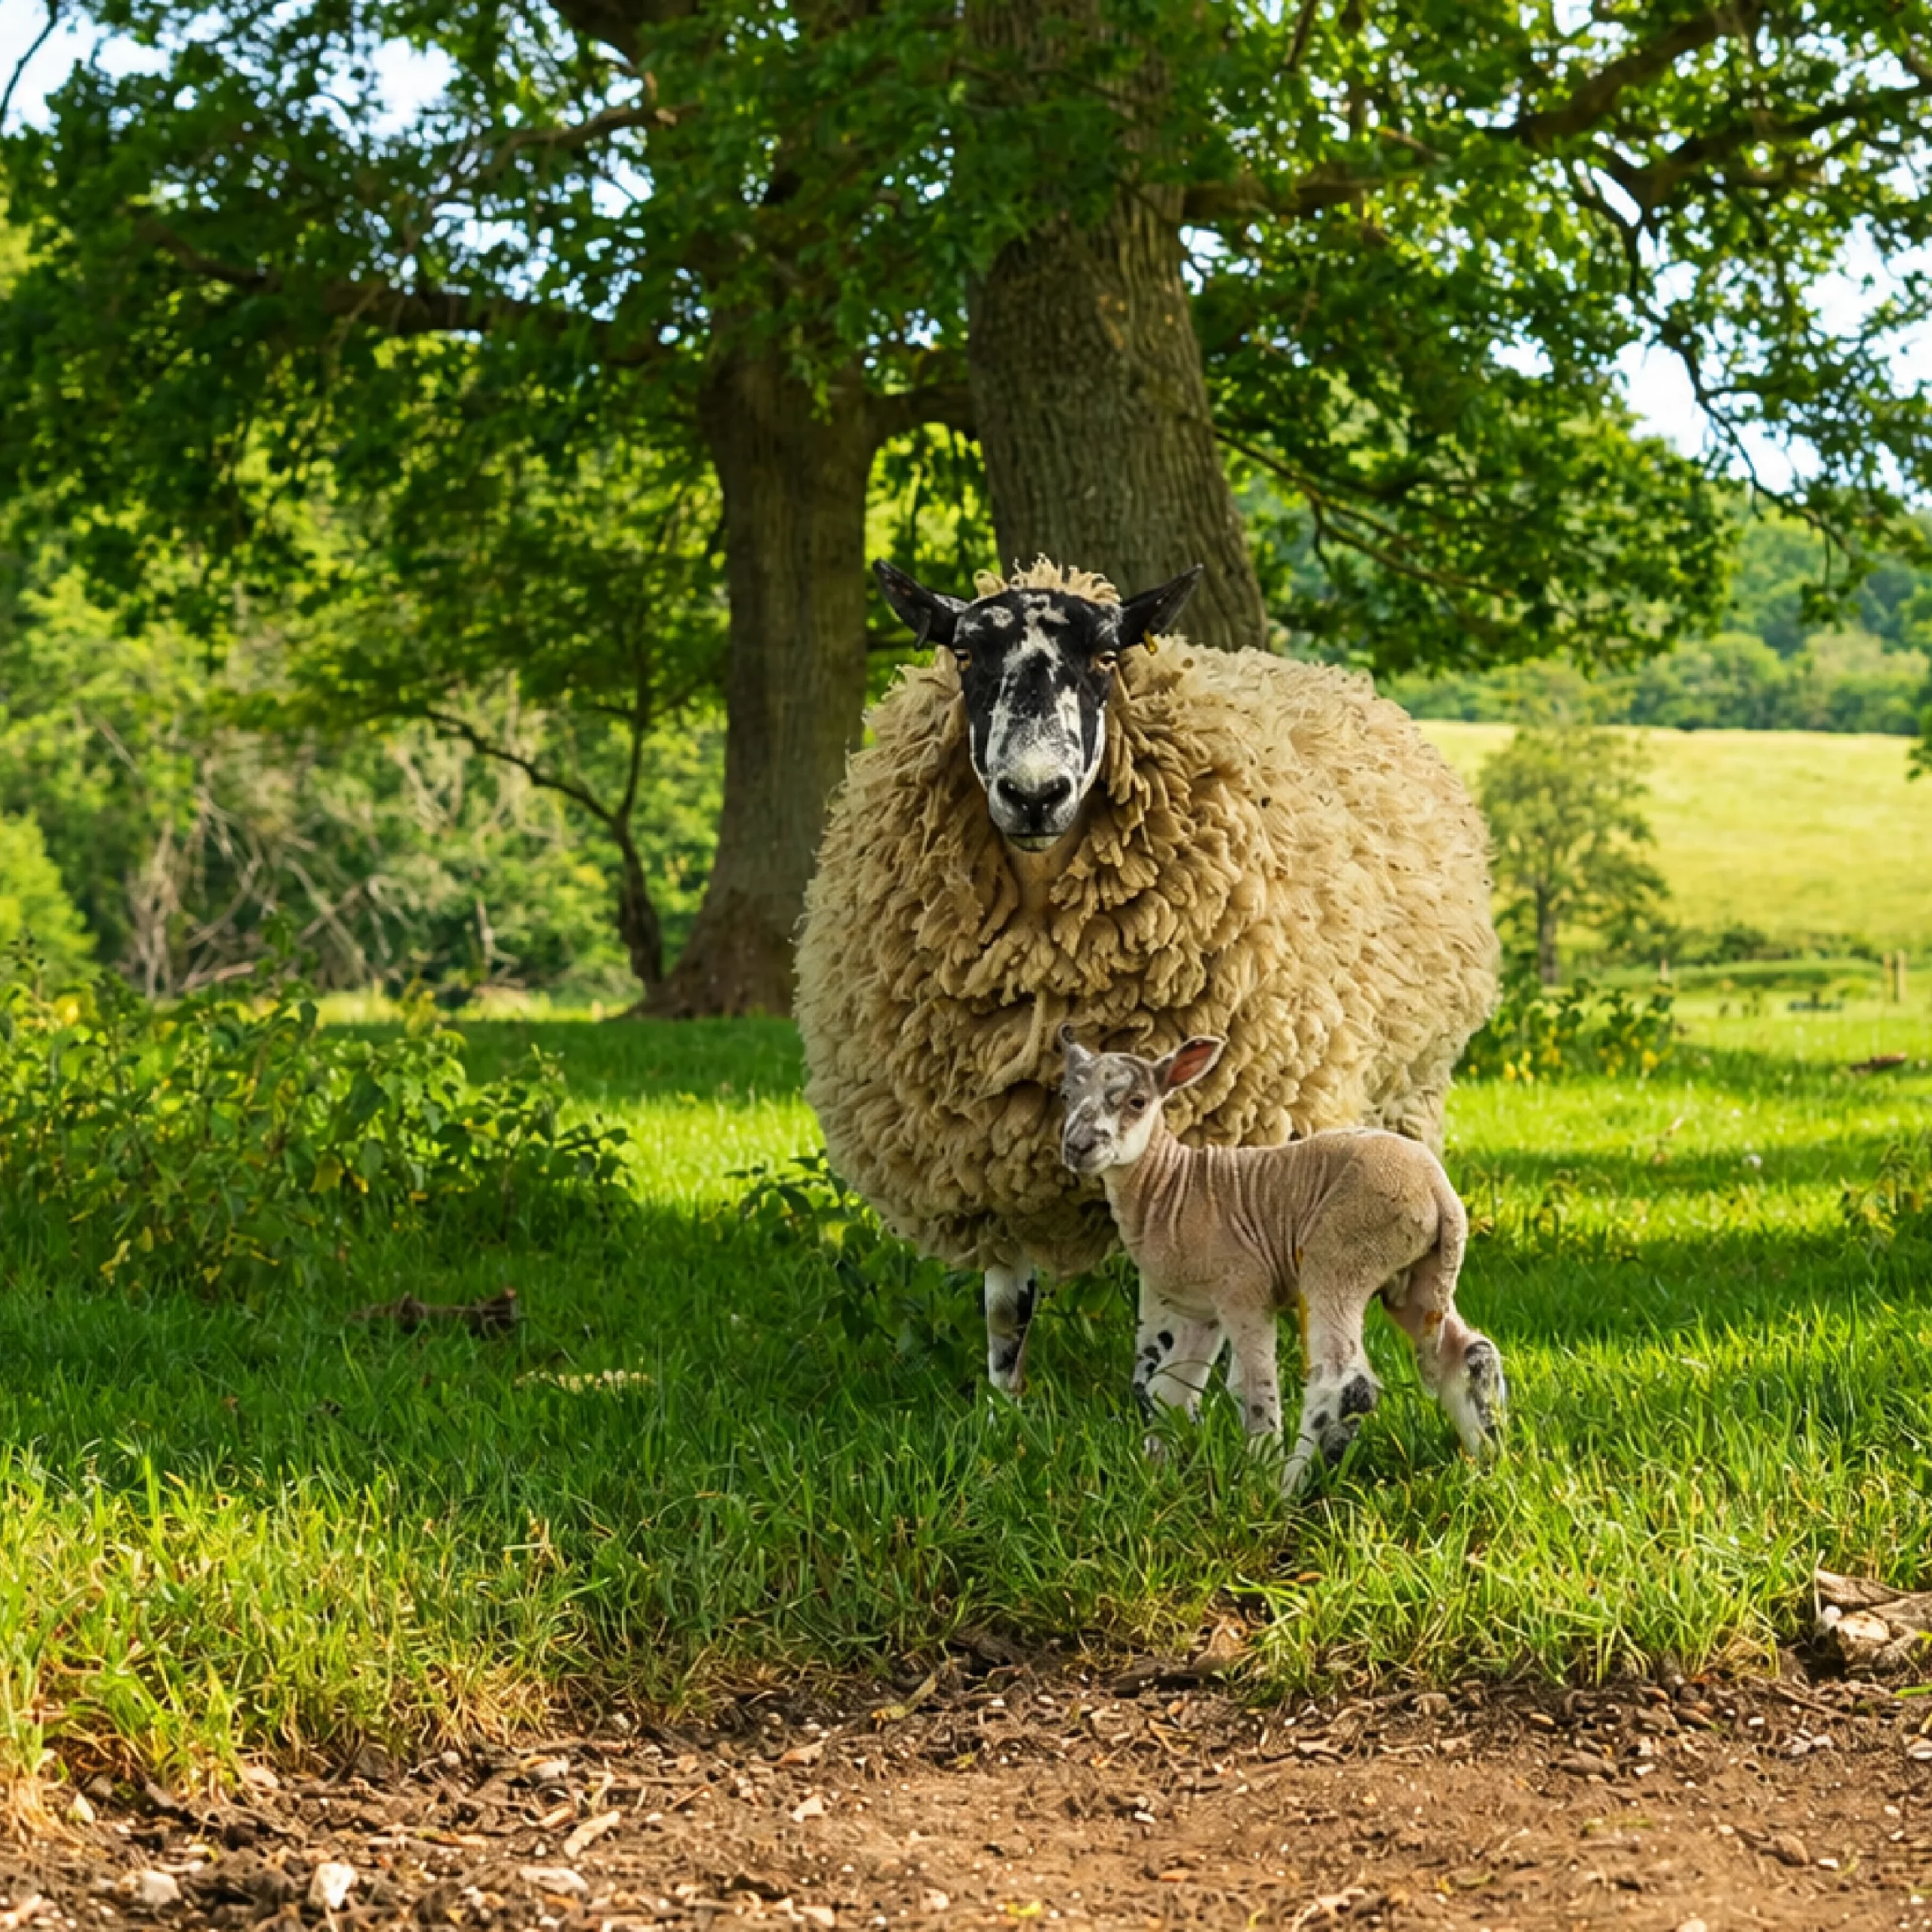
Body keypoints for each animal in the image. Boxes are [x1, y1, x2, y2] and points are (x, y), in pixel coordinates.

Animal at [794, 558, 1500, 1397]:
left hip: (1404, 1090)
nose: (1035, 793)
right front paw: (1003, 1411)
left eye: (1107, 657)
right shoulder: (985, 1147)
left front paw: (1162, 1406)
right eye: (964, 654)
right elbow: (1006, 1311)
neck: (1045, 940)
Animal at [1058, 1027, 1505, 1493]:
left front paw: (1258, 1474)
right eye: (1065, 1094)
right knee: (1467, 1352)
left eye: (1137, 1101)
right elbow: (1169, 1390)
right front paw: (1156, 1473)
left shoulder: (1244, 1288)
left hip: (1341, 1254)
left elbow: (1252, 1387)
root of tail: (1439, 1194)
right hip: (1419, 1277)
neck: (1169, 1186)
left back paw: (1290, 1485)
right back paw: (1487, 1462)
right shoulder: (1201, 1310)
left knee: (1343, 1380)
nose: (1077, 1147)